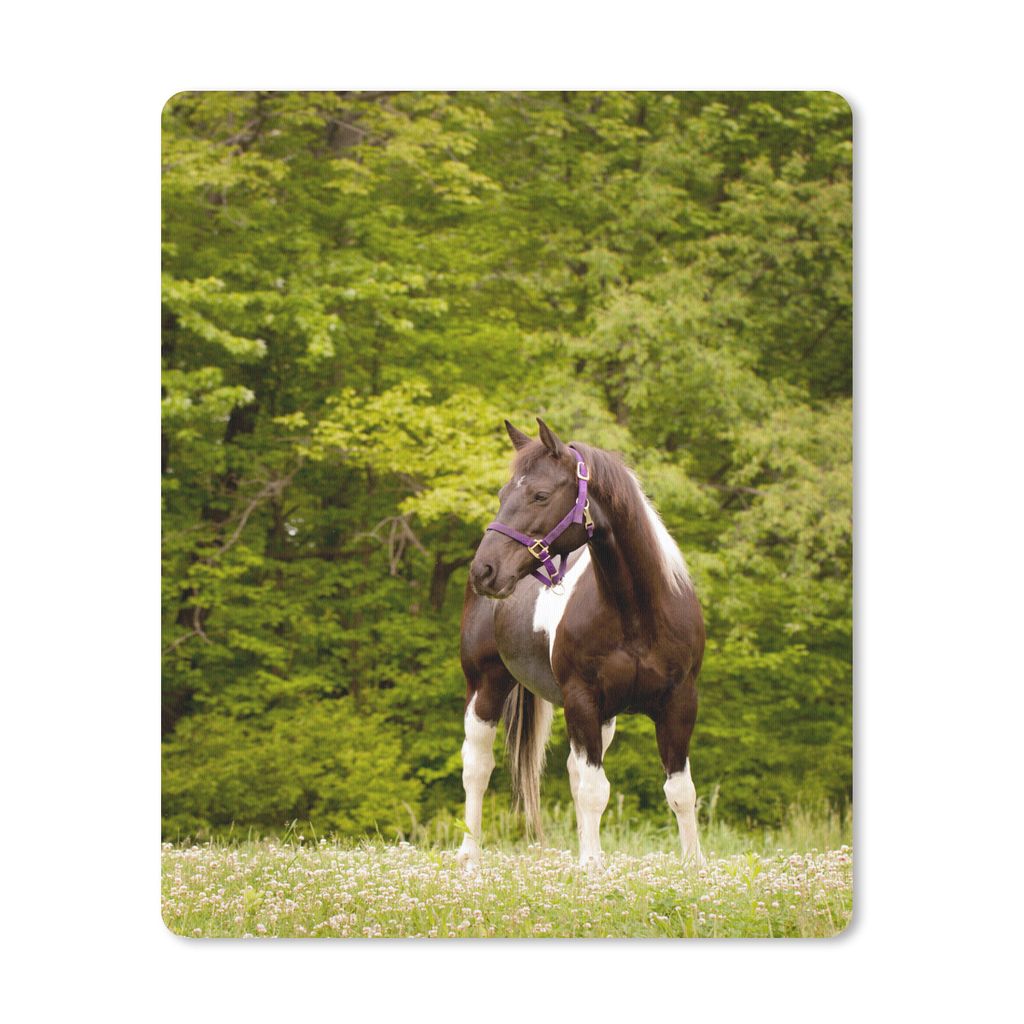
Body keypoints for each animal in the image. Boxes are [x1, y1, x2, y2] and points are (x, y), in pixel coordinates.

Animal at [456, 417, 705, 869]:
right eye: (502, 495)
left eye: (539, 495)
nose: (484, 571)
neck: (636, 613)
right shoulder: (582, 699)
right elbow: (594, 790)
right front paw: (591, 867)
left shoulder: (678, 702)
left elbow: (680, 791)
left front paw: (694, 868)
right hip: (485, 686)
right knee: (477, 767)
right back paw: (469, 856)